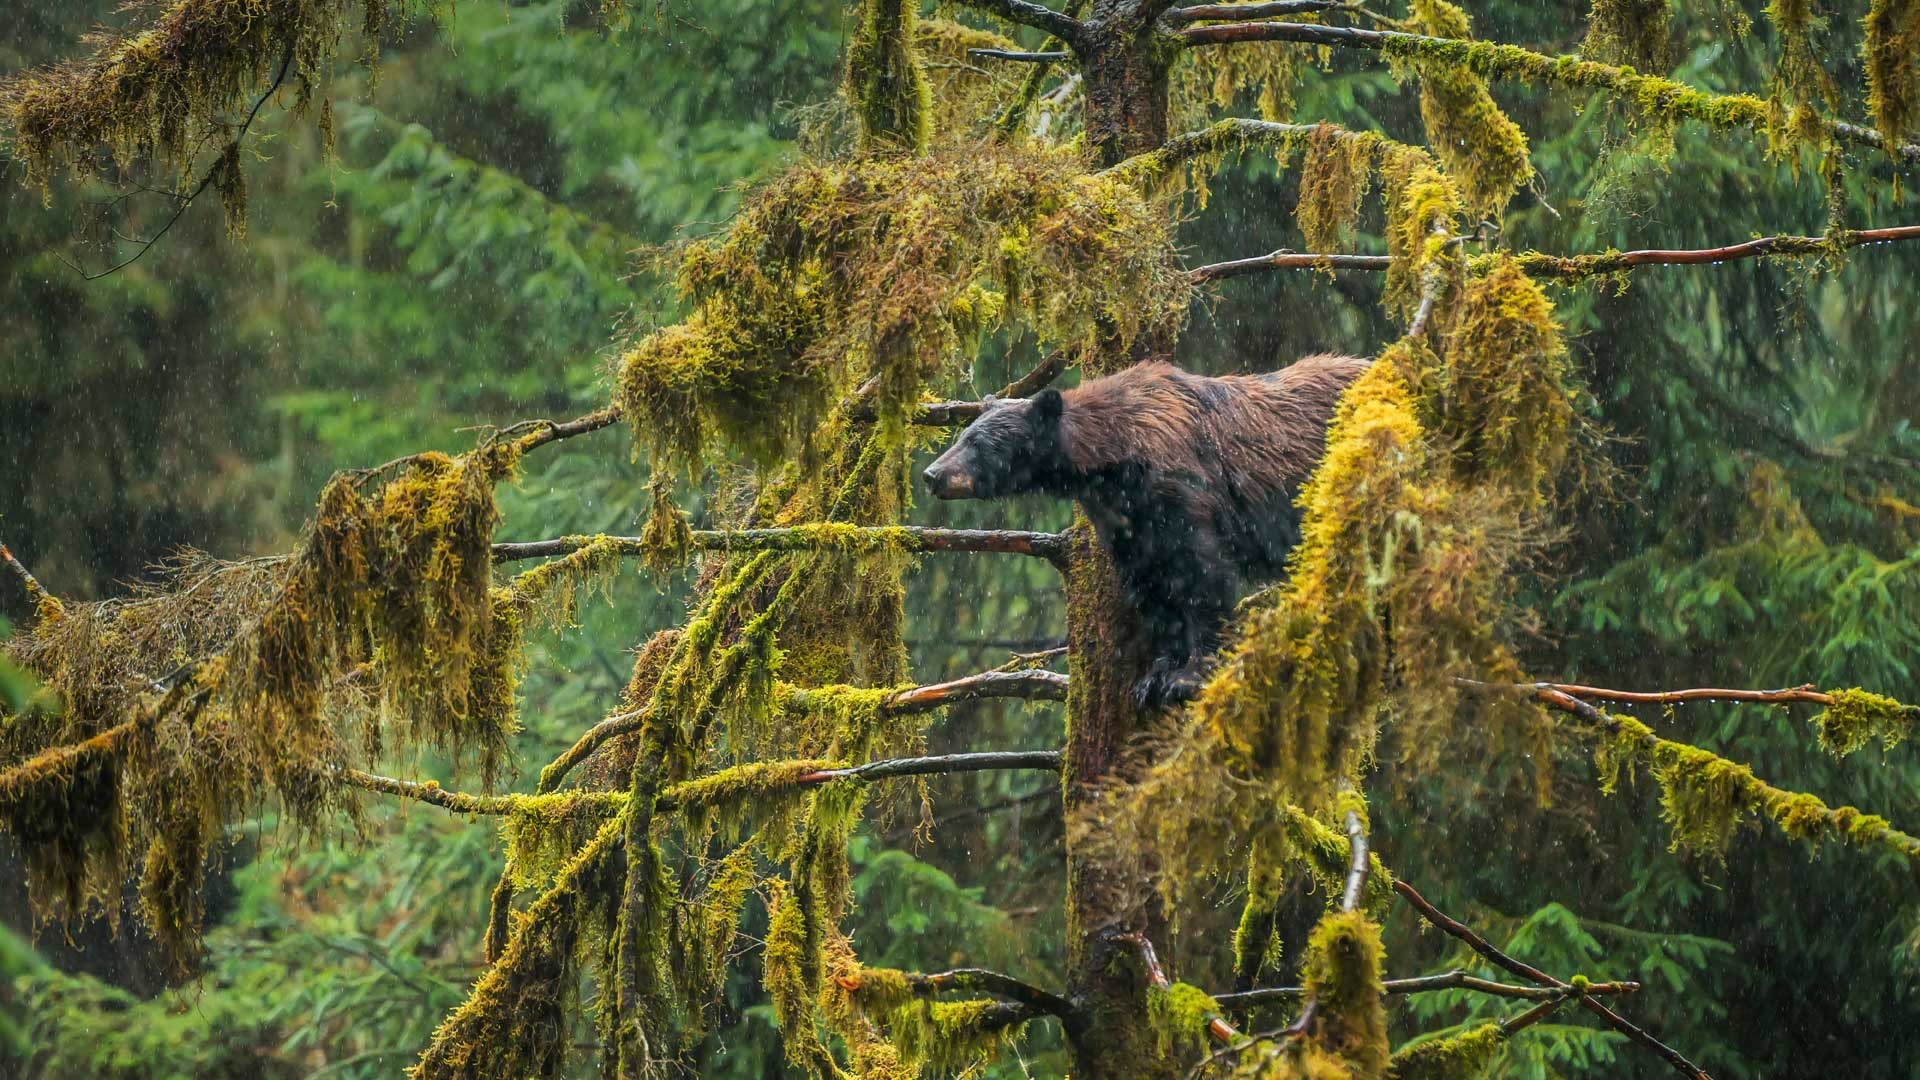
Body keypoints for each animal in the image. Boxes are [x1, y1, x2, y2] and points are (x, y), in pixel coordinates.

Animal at [925, 355, 1367, 707]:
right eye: (962, 435)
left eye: (979, 443)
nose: (932, 474)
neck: (1115, 462)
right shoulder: (1129, 524)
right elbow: (1154, 590)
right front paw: (1155, 677)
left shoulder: (1182, 491)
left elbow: (1203, 576)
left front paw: (1189, 676)